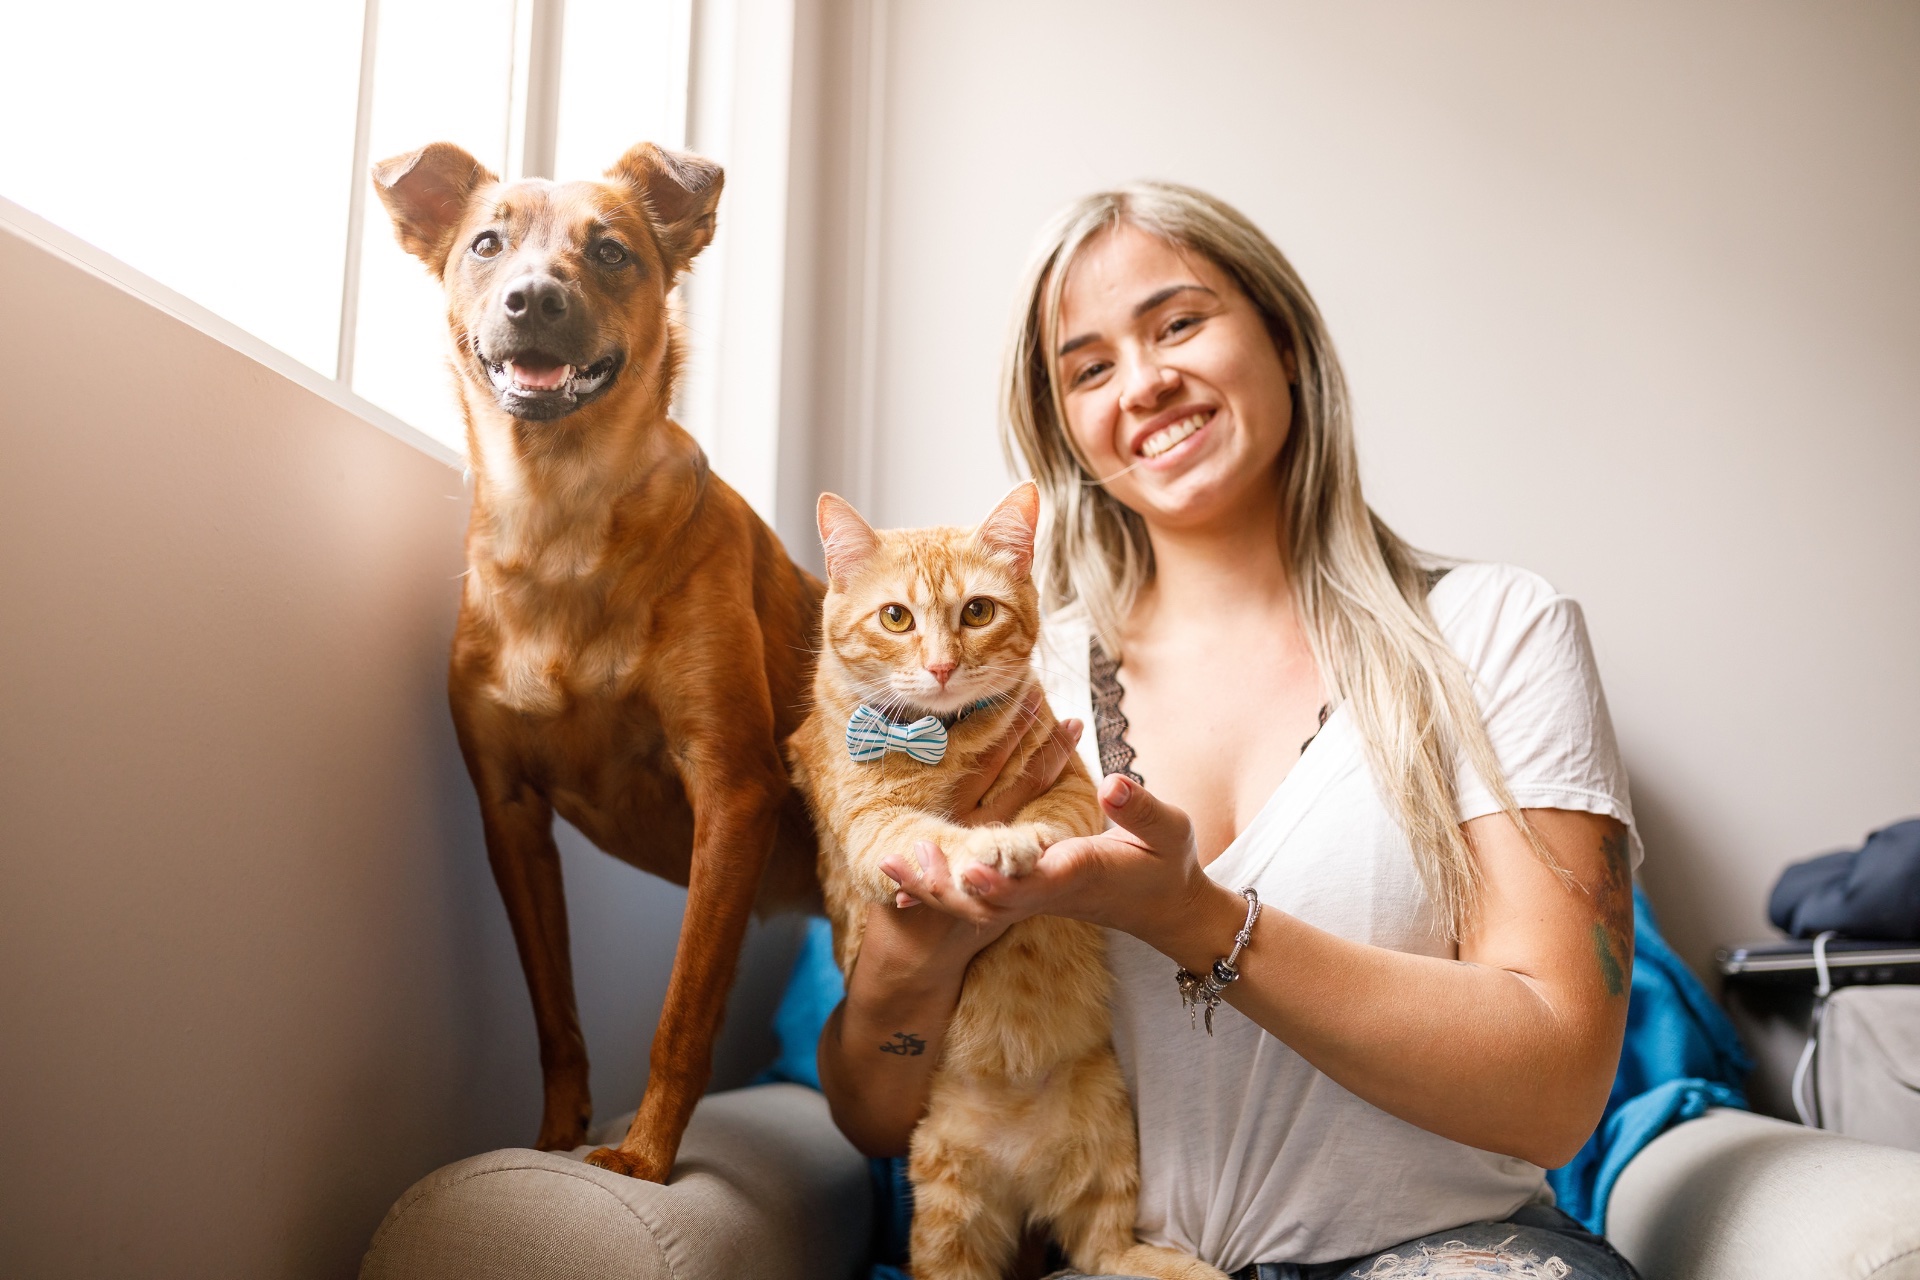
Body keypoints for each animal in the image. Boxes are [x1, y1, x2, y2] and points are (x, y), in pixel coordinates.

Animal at [370, 138, 821, 1182]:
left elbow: (681, 1013)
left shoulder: (732, 792)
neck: (561, 520)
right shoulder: (508, 814)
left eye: (611, 250)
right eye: (487, 243)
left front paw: (644, 1157)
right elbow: (556, 1017)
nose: (534, 299)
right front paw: (551, 1142)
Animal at [783, 485, 1221, 1280]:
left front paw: (1022, 840)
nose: (941, 666)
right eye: (896, 618)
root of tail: (1022, 1176)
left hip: (1107, 1139)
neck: (943, 738)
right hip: (948, 1201)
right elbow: (929, 837)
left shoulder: (1072, 786)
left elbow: (1052, 819)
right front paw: (980, 849)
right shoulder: (872, 828)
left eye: (978, 612)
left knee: (1105, 1251)